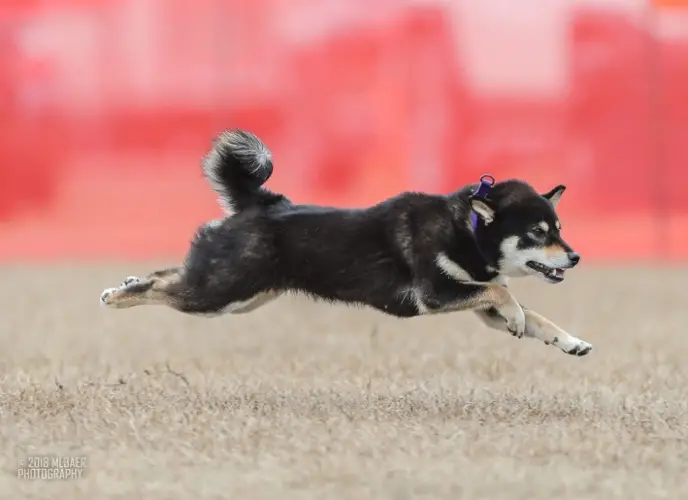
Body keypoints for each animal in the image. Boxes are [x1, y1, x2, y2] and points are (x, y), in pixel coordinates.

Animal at [101, 129, 592, 356]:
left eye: (559, 228)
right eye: (538, 234)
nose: (574, 256)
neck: (467, 230)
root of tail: (262, 203)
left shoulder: (475, 303)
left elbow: (532, 315)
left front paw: (569, 341)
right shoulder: (437, 294)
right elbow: (504, 295)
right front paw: (521, 316)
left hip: (240, 295)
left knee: (168, 274)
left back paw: (127, 282)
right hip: (221, 293)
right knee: (164, 286)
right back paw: (116, 295)